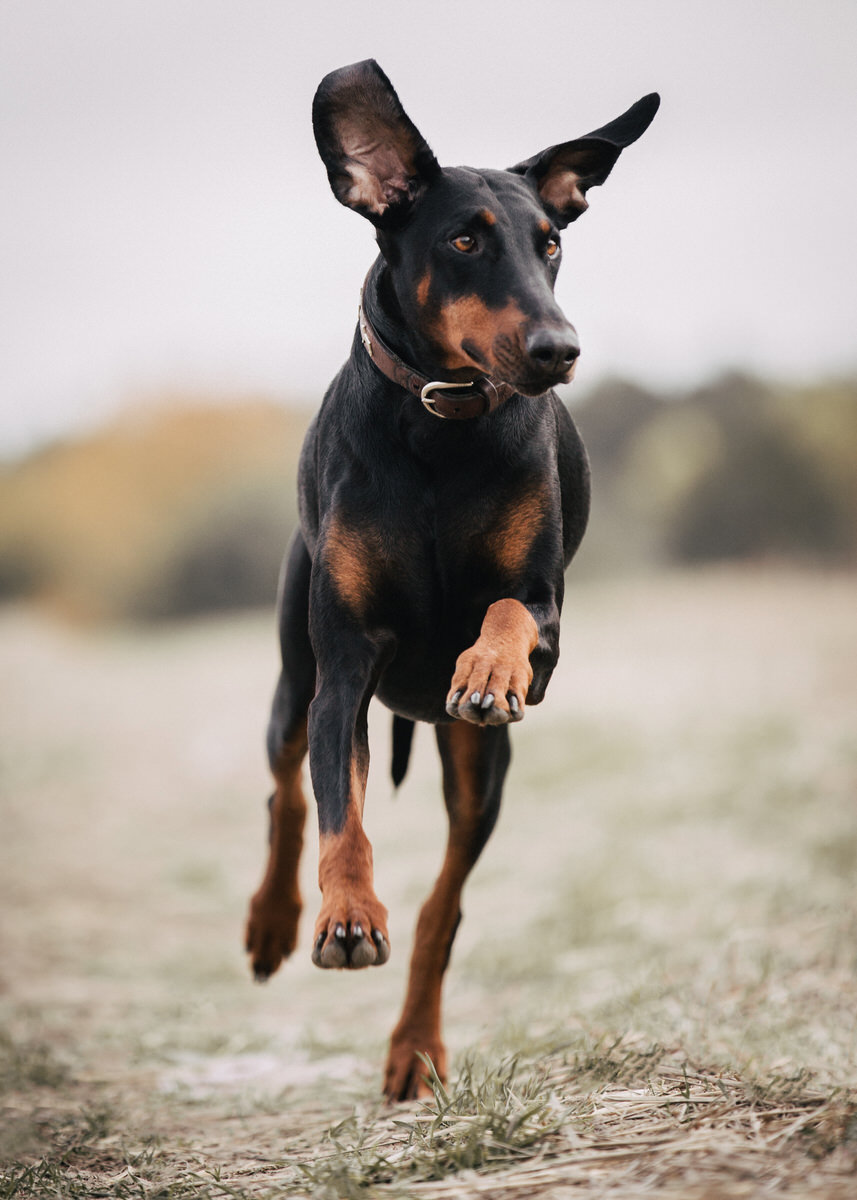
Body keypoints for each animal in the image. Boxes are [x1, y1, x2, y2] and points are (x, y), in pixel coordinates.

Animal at [243, 60, 657, 1099]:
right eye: (464, 239)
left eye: (551, 242)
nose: (559, 349)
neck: (440, 425)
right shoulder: (347, 662)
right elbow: (340, 817)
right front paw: (346, 914)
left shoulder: (546, 621)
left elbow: (508, 607)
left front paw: (483, 669)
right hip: (292, 676)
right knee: (286, 788)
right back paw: (272, 922)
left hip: (481, 770)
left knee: (446, 902)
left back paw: (414, 1048)